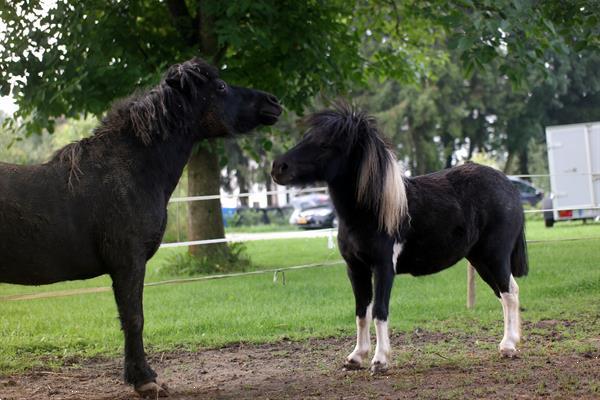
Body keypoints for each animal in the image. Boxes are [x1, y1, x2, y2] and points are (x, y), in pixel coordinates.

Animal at [0, 57, 282, 398]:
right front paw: (145, 379)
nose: (273, 102)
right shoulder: (128, 263)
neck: (132, 170)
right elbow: (134, 318)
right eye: (221, 86)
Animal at [274, 104, 528, 374]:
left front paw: (380, 360)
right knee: (505, 291)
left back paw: (508, 346)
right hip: (479, 259)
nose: (278, 167)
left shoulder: (384, 267)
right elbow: (361, 312)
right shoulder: (355, 269)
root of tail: (509, 186)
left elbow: (379, 310)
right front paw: (356, 357)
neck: (371, 210)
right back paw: (509, 343)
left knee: (509, 293)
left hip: (494, 255)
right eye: (306, 137)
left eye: (325, 144)